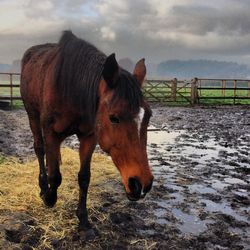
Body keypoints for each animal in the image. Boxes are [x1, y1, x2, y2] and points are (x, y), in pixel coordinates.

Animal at [21, 31, 154, 236]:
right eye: (113, 117)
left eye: (148, 115)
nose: (141, 184)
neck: (72, 88)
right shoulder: (51, 133)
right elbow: (55, 176)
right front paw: (49, 197)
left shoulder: (89, 137)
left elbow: (84, 177)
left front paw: (83, 219)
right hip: (32, 115)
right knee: (39, 149)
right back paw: (43, 187)